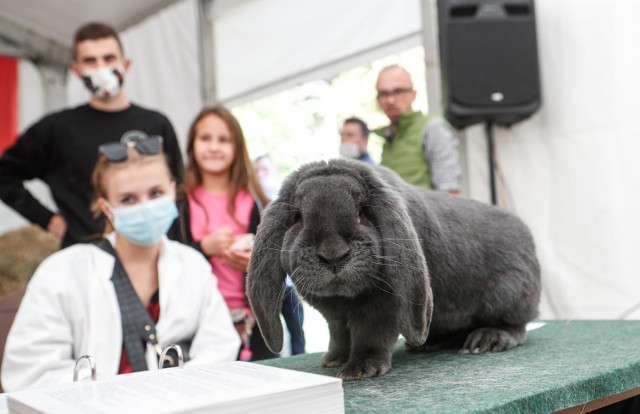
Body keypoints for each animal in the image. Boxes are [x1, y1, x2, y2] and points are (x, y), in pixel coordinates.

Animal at [246, 160, 540, 380]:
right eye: (298, 217)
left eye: (362, 213)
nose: (333, 255)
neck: (344, 298)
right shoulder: (334, 316)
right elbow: (339, 334)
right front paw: (333, 360)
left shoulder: (384, 308)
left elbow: (371, 334)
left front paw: (360, 369)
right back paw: (428, 344)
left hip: (508, 296)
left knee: (518, 325)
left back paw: (488, 340)